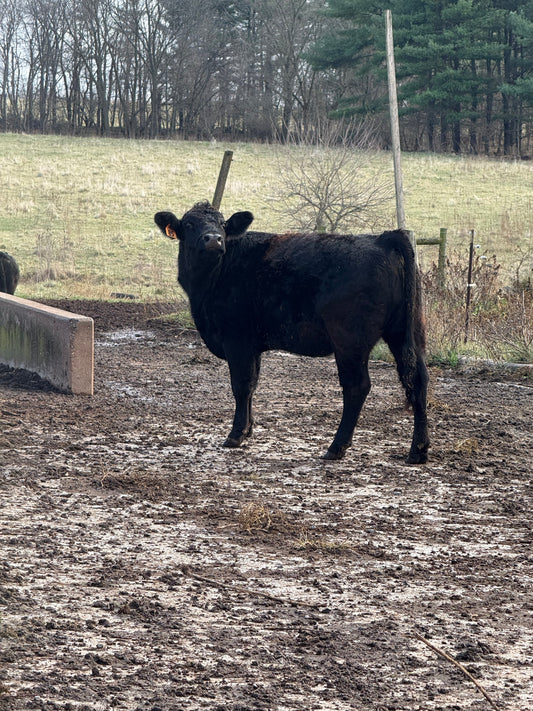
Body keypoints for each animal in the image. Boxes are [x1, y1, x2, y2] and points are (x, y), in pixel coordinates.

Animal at [154, 201, 429, 463]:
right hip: (405, 333)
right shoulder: (253, 345)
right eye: (189, 224)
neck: (212, 278)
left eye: (222, 224)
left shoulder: (237, 339)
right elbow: (252, 384)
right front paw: (248, 430)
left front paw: (236, 434)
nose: (213, 239)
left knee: (357, 386)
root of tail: (382, 238)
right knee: (418, 380)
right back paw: (418, 450)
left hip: (350, 340)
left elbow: (241, 385)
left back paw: (336, 447)